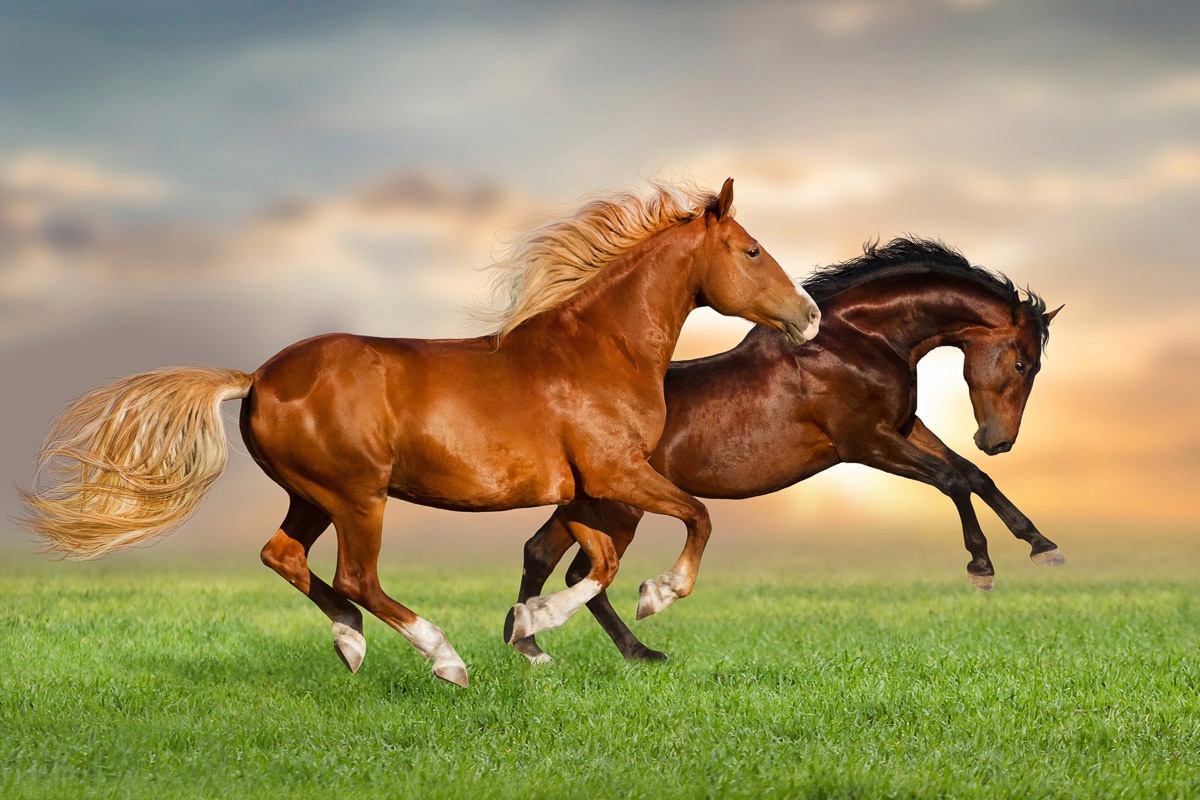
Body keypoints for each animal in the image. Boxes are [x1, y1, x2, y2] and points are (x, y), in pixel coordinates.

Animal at [18, 178, 821, 687]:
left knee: (284, 555)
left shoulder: (589, 490)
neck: (597, 352)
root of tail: (258, 377)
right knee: (357, 577)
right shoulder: (614, 475)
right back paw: (443, 659)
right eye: (752, 250)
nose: (810, 316)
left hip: (312, 495)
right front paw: (640, 603)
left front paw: (532, 629)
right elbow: (690, 521)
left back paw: (350, 643)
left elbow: (594, 561)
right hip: (358, 496)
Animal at [511, 237, 1063, 664]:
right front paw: (982, 567)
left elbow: (973, 476)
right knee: (582, 571)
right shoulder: (866, 442)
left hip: (586, 504)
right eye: (1022, 364)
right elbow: (953, 480)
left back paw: (536, 644)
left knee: (540, 553)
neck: (859, 340)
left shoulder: (904, 428)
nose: (998, 441)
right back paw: (633, 645)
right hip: (621, 507)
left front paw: (1041, 545)